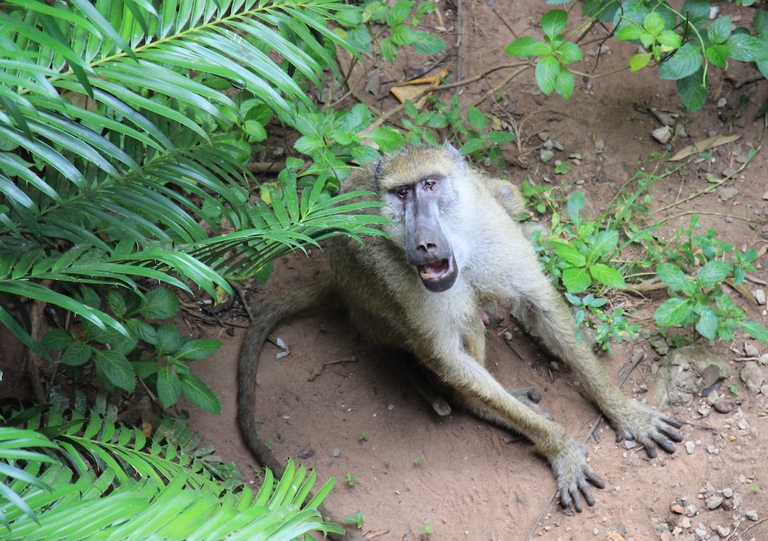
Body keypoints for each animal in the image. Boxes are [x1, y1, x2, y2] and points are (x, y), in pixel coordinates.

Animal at [237, 143, 683, 529]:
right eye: (401, 194)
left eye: (430, 185)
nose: (424, 243)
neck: (464, 251)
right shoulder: (389, 272)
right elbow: (447, 358)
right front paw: (560, 447)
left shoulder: (495, 232)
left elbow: (543, 311)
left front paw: (625, 411)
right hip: (367, 301)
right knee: (458, 335)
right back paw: (476, 402)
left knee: (508, 198)